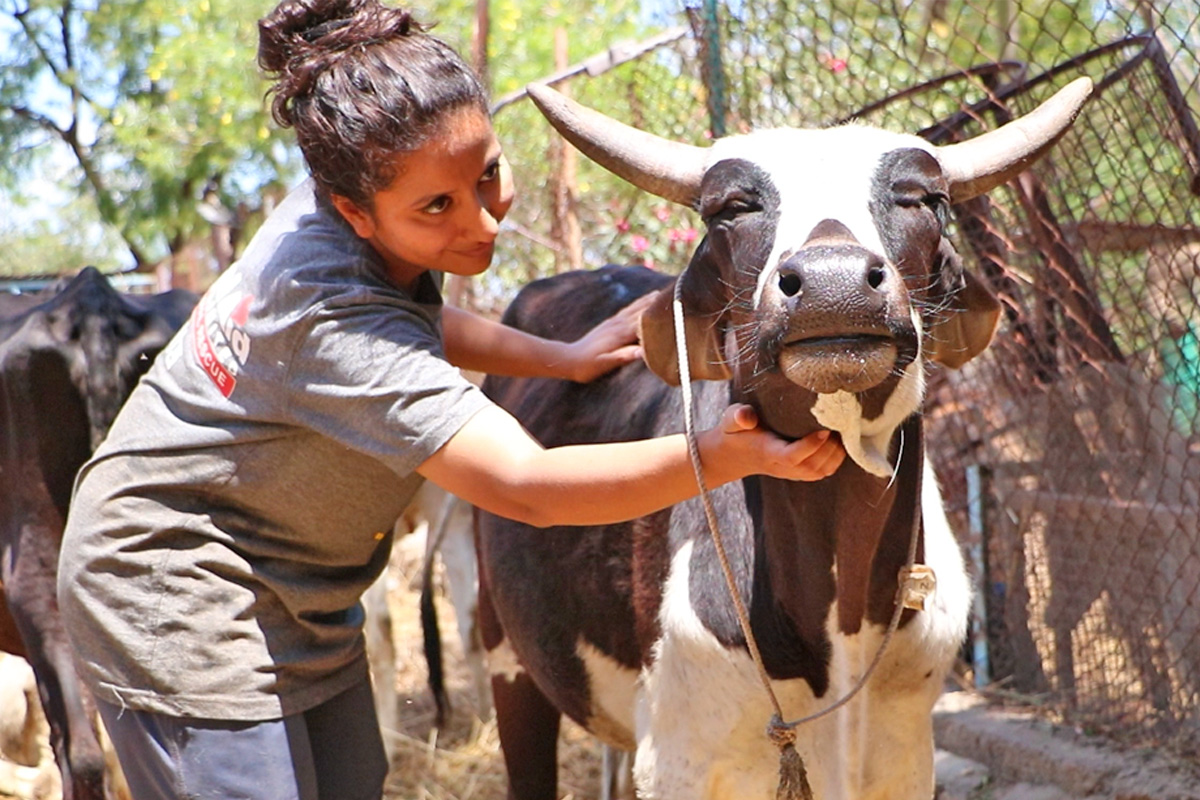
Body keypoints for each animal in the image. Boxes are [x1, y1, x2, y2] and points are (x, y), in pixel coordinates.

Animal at [472, 76, 1094, 800]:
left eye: (922, 199)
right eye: (732, 208)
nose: (833, 284)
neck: (841, 614)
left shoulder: (906, 752)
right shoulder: (680, 759)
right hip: (506, 652)